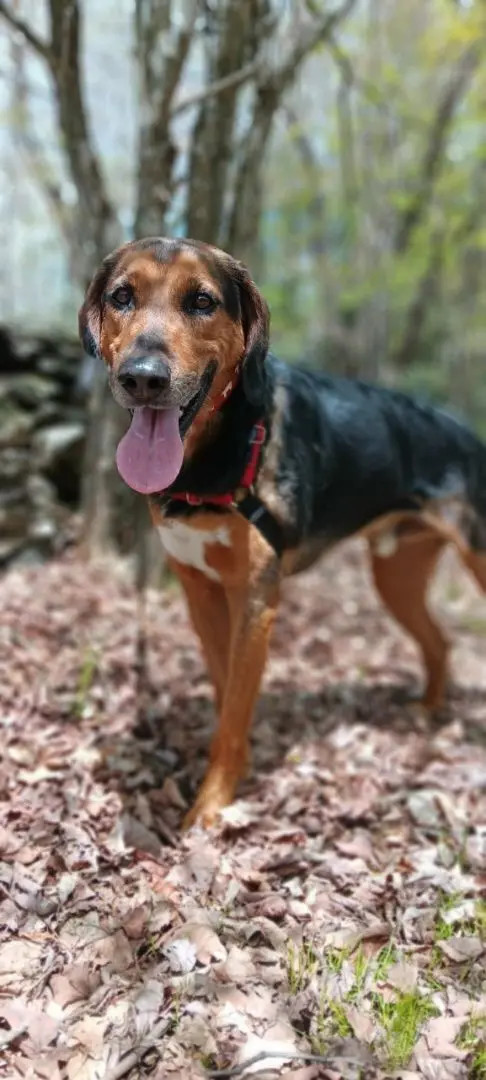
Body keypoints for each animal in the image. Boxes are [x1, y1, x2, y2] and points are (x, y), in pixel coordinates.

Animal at [79, 236, 486, 825]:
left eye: (201, 301)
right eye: (122, 296)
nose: (143, 377)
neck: (215, 458)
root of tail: (470, 436)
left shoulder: (255, 598)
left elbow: (233, 710)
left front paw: (210, 807)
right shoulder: (201, 591)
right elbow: (226, 688)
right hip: (396, 573)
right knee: (440, 641)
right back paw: (427, 711)